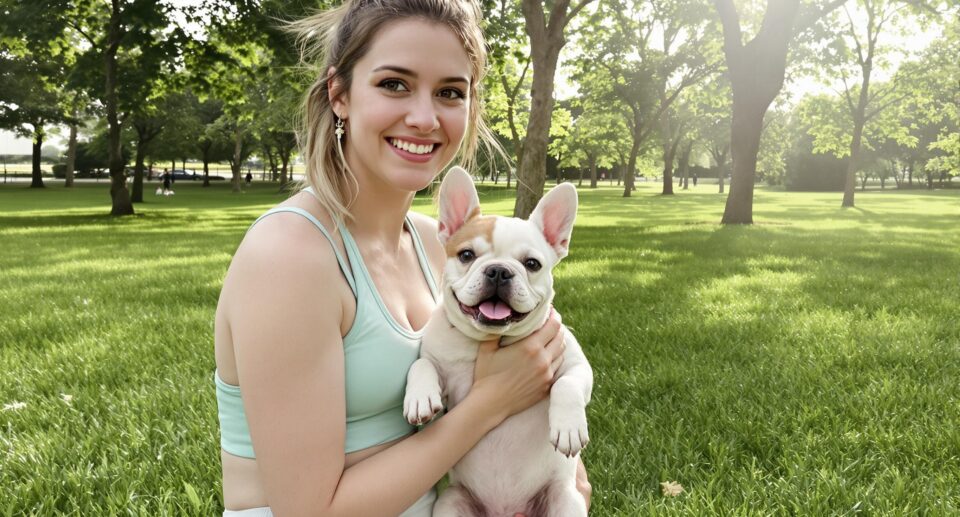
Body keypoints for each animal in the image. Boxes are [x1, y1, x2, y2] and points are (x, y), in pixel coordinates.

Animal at [404, 167, 592, 512]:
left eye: (532, 264)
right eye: (466, 254)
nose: (499, 271)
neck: (488, 339)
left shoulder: (575, 365)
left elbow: (567, 384)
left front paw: (569, 427)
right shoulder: (439, 367)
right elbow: (422, 364)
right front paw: (420, 397)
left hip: (564, 499)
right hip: (451, 501)